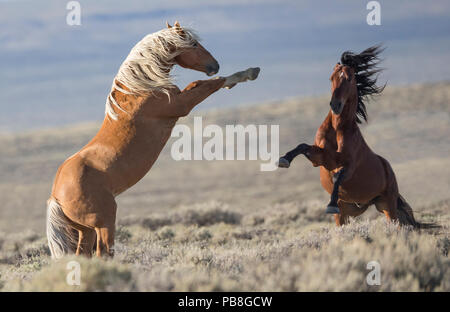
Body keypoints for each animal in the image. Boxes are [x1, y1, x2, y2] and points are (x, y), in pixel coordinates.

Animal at [46, 22, 260, 258]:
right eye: (194, 44)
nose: (215, 65)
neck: (140, 88)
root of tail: (56, 197)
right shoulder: (181, 105)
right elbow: (211, 84)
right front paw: (249, 73)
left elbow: (200, 83)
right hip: (104, 223)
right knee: (104, 252)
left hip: (86, 230)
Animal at [278, 45, 418, 227]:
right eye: (331, 78)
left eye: (350, 78)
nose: (335, 105)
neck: (338, 129)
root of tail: (388, 169)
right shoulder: (320, 158)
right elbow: (302, 146)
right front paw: (284, 160)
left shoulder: (349, 167)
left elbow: (338, 176)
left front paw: (331, 204)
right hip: (350, 212)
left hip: (388, 207)